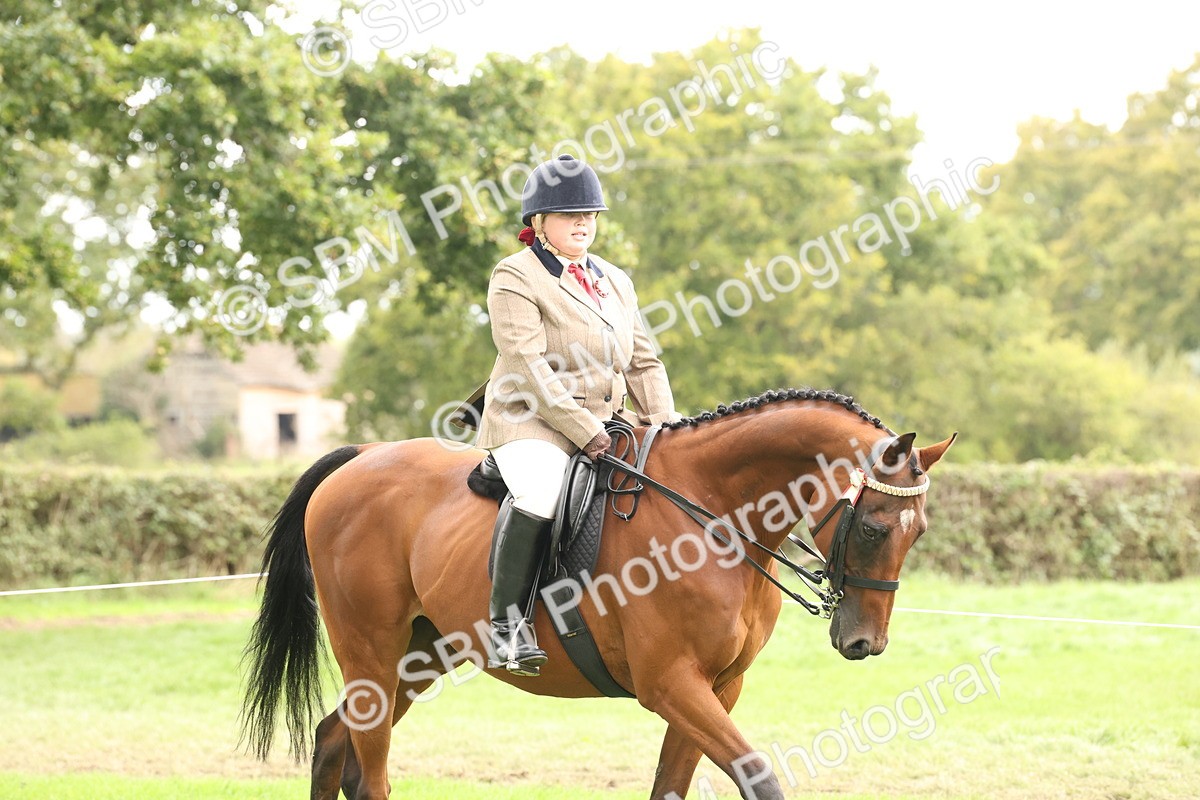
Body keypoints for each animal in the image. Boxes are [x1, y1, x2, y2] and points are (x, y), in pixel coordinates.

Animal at [240, 388, 955, 799]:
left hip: (418, 658)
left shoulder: (718, 688)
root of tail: (363, 457)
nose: (864, 643)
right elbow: (758, 777)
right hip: (370, 650)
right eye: (873, 527)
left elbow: (670, 789)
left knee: (335, 743)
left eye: (918, 532)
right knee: (370, 770)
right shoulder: (671, 684)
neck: (717, 517)